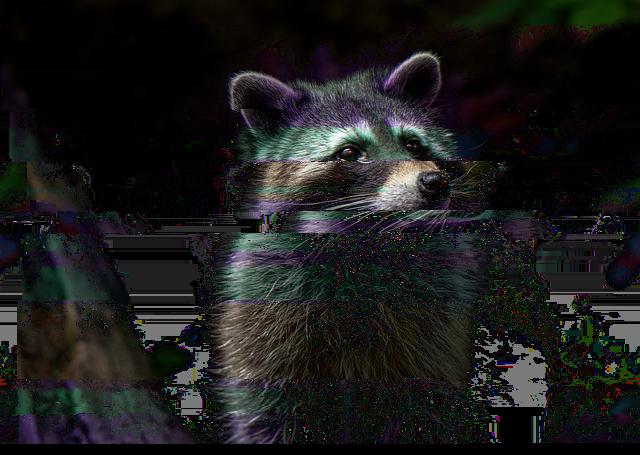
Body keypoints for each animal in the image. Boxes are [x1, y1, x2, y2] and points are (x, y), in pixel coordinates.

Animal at [206, 52, 533, 443]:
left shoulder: (433, 331)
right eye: (350, 152)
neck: (368, 241)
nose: (434, 183)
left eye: (412, 144)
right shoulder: (266, 320)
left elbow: (426, 410)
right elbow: (269, 413)